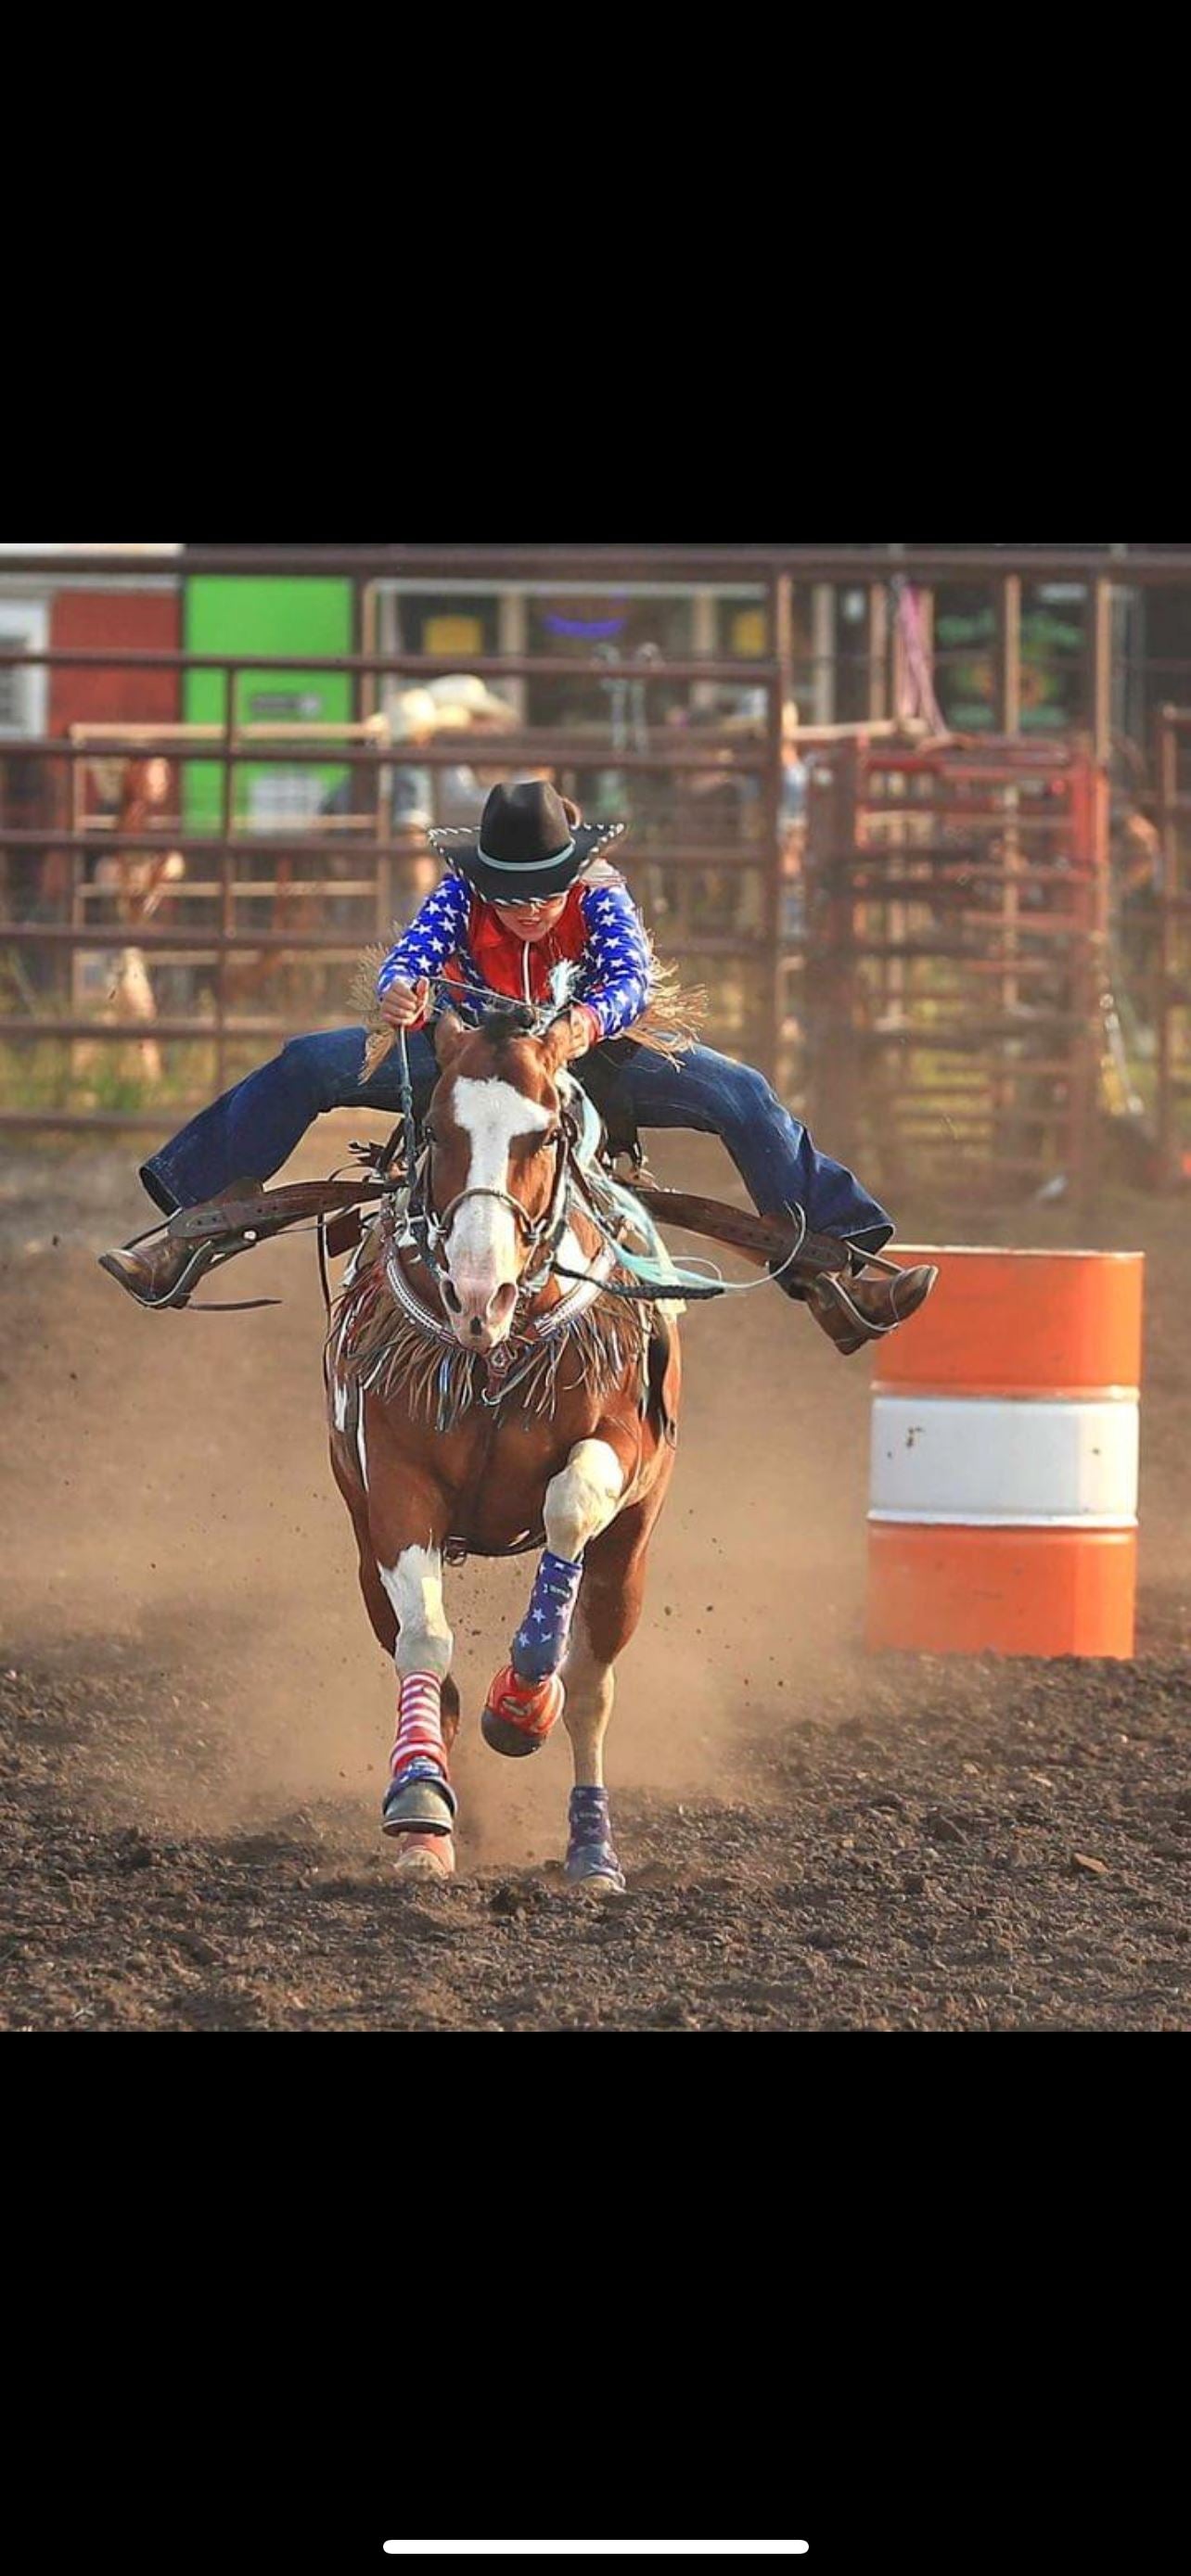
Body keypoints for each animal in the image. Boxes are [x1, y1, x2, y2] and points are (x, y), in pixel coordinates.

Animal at [326, 994, 685, 1885]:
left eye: (548, 1133)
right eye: (436, 1129)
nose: (475, 1292)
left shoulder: (620, 1443)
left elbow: (567, 1507)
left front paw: (521, 1702)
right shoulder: (394, 1485)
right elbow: (425, 1639)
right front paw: (419, 1800)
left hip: (632, 1552)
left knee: (592, 1689)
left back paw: (591, 1850)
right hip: (362, 1552)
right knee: (434, 1670)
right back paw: (432, 1830)